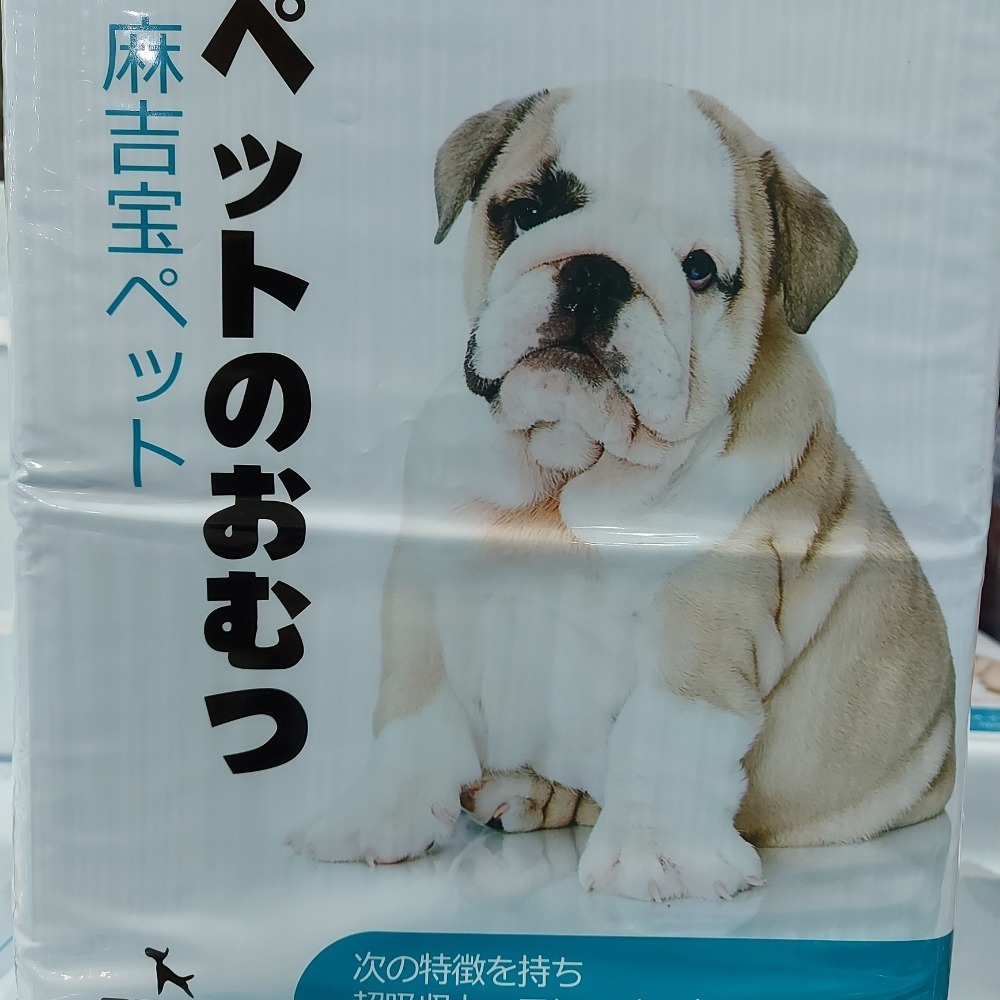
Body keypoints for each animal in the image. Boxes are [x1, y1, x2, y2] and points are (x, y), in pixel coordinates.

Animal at [291, 81, 955, 902]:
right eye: (528, 212)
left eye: (699, 269)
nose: (597, 273)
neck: (565, 472)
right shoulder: (425, 591)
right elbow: (412, 716)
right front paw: (375, 818)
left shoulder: (699, 631)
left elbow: (666, 736)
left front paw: (657, 855)